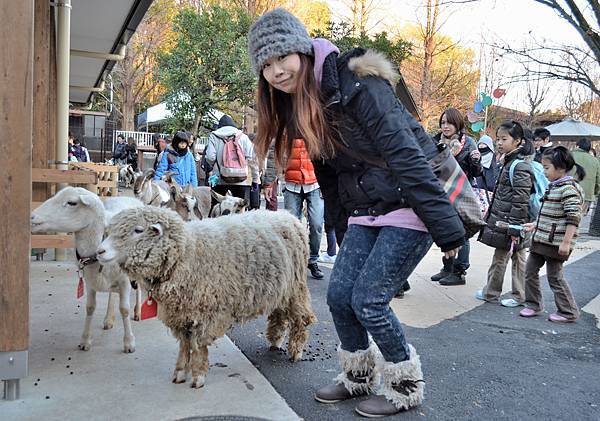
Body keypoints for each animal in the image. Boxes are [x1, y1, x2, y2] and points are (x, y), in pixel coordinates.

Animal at [32, 187, 145, 352]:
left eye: (72, 203)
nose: (32, 216)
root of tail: (130, 197)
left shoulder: (124, 281)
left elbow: (124, 309)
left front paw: (129, 342)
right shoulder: (89, 280)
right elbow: (90, 308)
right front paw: (85, 340)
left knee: (139, 287)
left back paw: (138, 312)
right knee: (112, 294)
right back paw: (108, 319)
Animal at [96, 206, 316, 388]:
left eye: (138, 230)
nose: (99, 251)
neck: (186, 254)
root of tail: (289, 216)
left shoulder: (207, 314)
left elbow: (198, 346)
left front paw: (198, 376)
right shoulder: (181, 314)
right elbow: (185, 345)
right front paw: (180, 373)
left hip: (296, 287)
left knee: (301, 318)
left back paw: (296, 351)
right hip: (280, 288)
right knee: (280, 314)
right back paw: (275, 341)